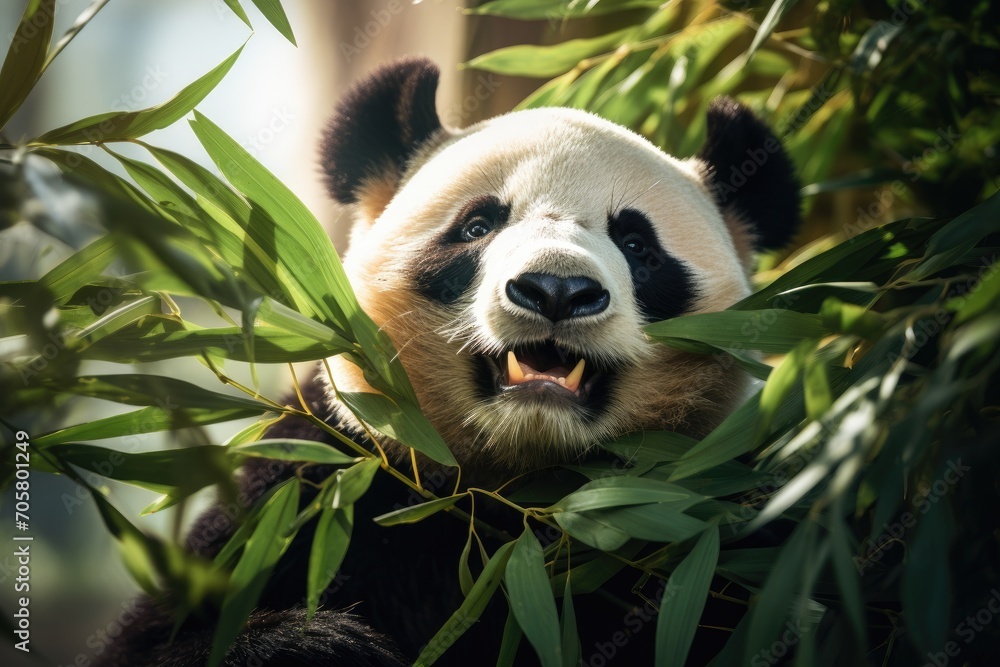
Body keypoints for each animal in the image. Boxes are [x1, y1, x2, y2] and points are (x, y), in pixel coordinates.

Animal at [102, 57, 799, 666]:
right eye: (478, 226)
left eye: (637, 245)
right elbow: (161, 640)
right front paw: (323, 643)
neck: (518, 496)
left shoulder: (709, 520)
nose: (556, 290)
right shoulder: (316, 479)